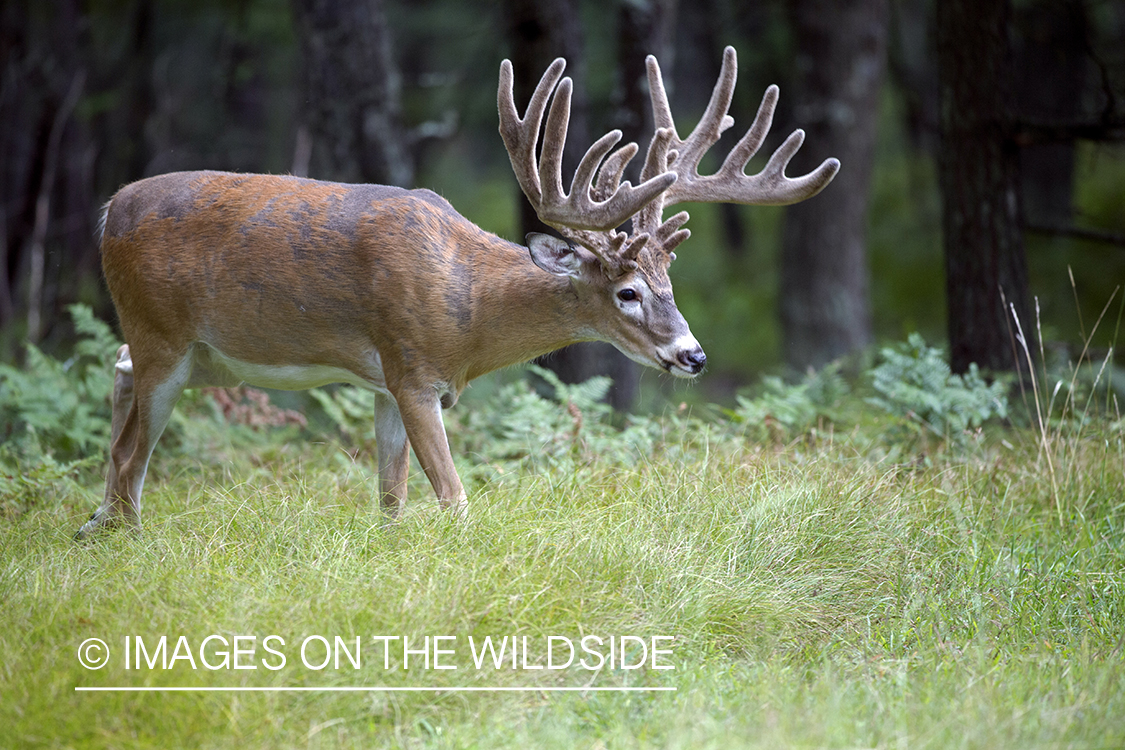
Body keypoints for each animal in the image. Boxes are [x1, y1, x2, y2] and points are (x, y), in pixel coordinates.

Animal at [77, 45, 837, 539]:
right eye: (625, 291)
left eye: (667, 283)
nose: (692, 355)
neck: (469, 309)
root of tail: (108, 210)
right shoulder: (414, 371)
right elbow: (453, 497)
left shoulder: (385, 382)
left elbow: (391, 497)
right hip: (162, 333)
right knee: (131, 449)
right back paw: (128, 535)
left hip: (197, 354)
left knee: (117, 382)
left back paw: (96, 522)